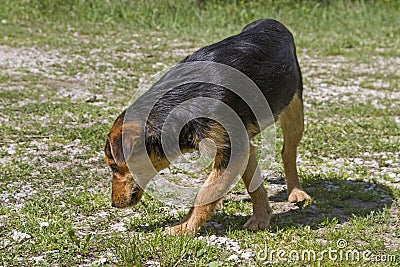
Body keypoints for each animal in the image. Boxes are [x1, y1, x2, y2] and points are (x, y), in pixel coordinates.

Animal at [104, 18, 310, 234]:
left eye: (113, 166)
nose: (113, 204)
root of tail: (271, 21)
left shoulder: (232, 150)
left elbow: (205, 193)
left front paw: (185, 227)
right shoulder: (240, 146)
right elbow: (251, 184)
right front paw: (261, 217)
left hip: (295, 112)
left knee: (288, 153)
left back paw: (297, 192)